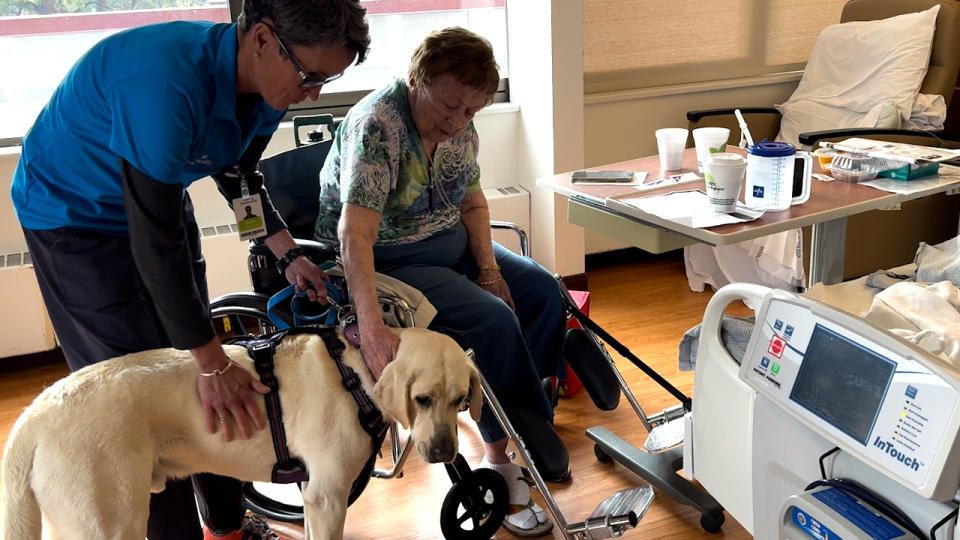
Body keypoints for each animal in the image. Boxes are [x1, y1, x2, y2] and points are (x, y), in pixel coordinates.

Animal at [0, 326, 480, 540]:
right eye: (421, 399)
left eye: (460, 400)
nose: (443, 452)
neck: (357, 371)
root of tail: (36, 414)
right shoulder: (327, 498)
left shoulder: (312, 499)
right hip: (108, 524)